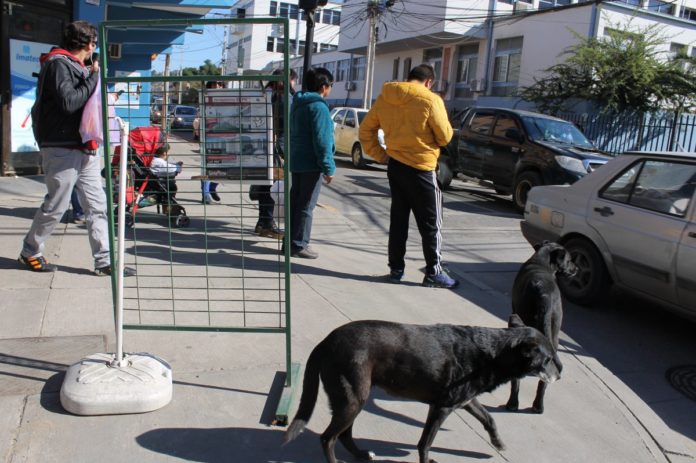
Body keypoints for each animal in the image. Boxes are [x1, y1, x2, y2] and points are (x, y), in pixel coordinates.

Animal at [282, 320, 560, 463]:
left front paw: (498, 443)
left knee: (344, 435)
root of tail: (326, 342)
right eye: (548, 359)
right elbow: (425, 443)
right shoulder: (441, 408)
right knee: (328, 438)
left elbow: (489, 419)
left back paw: (362, 454)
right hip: (352, 399)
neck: (493, 352)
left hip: (353, 400)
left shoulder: (465, 400)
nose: (560, 374)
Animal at [506, 241, 576, 416]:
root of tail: (544, 295)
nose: (577, 269)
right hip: (554, 333)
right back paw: (538, 406)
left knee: (516, 380)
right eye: (569, 260)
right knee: (544, 381)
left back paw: (512, 403)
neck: (542, 260)